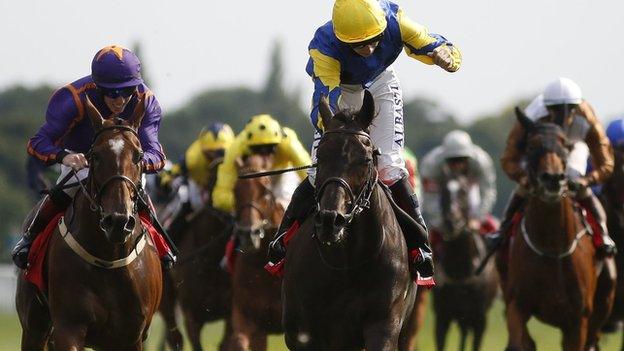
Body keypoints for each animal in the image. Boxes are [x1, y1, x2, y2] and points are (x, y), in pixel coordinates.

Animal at [16, 97, 163, 351]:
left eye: (138, 155)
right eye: (95, 155)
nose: (118, 221)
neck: (108, 257)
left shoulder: (132, 334)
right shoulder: (68, 327)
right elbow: (41, 139)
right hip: (34, 326)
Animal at [282, 91, 414, 351]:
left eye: (365, 159)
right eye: (320, 156)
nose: (330, 220)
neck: (348, 261)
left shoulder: (383, 324)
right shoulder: (306, 333)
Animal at [498, 108, 616, 351]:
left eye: (565, 145)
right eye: (531, 146)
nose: (552, 178)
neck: (551, 247)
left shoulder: (577, 320)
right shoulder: (517, 307)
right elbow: (523, 342)